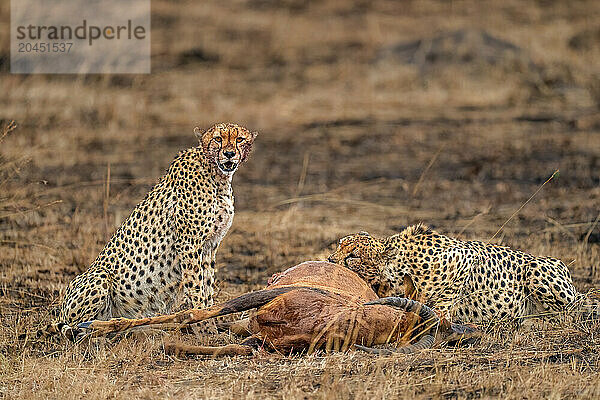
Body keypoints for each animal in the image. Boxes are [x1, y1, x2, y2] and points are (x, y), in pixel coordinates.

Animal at [42, 122, 256, 340]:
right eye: (217, 139)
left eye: (239, 139)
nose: (229, 154)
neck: (217, 176)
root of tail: (61, 311)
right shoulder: (189, 243)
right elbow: (196, 288)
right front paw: (205, 330)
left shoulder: (210, 245)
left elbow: (208, 287)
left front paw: (209, 325)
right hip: (99, 277)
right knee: (76, 329)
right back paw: (99, 331)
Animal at [330, 223, 596, 324]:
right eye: (338, 245)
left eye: (353, 256)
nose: (331, 260)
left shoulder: (465, 257)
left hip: (535, 271)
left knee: (575, 309)